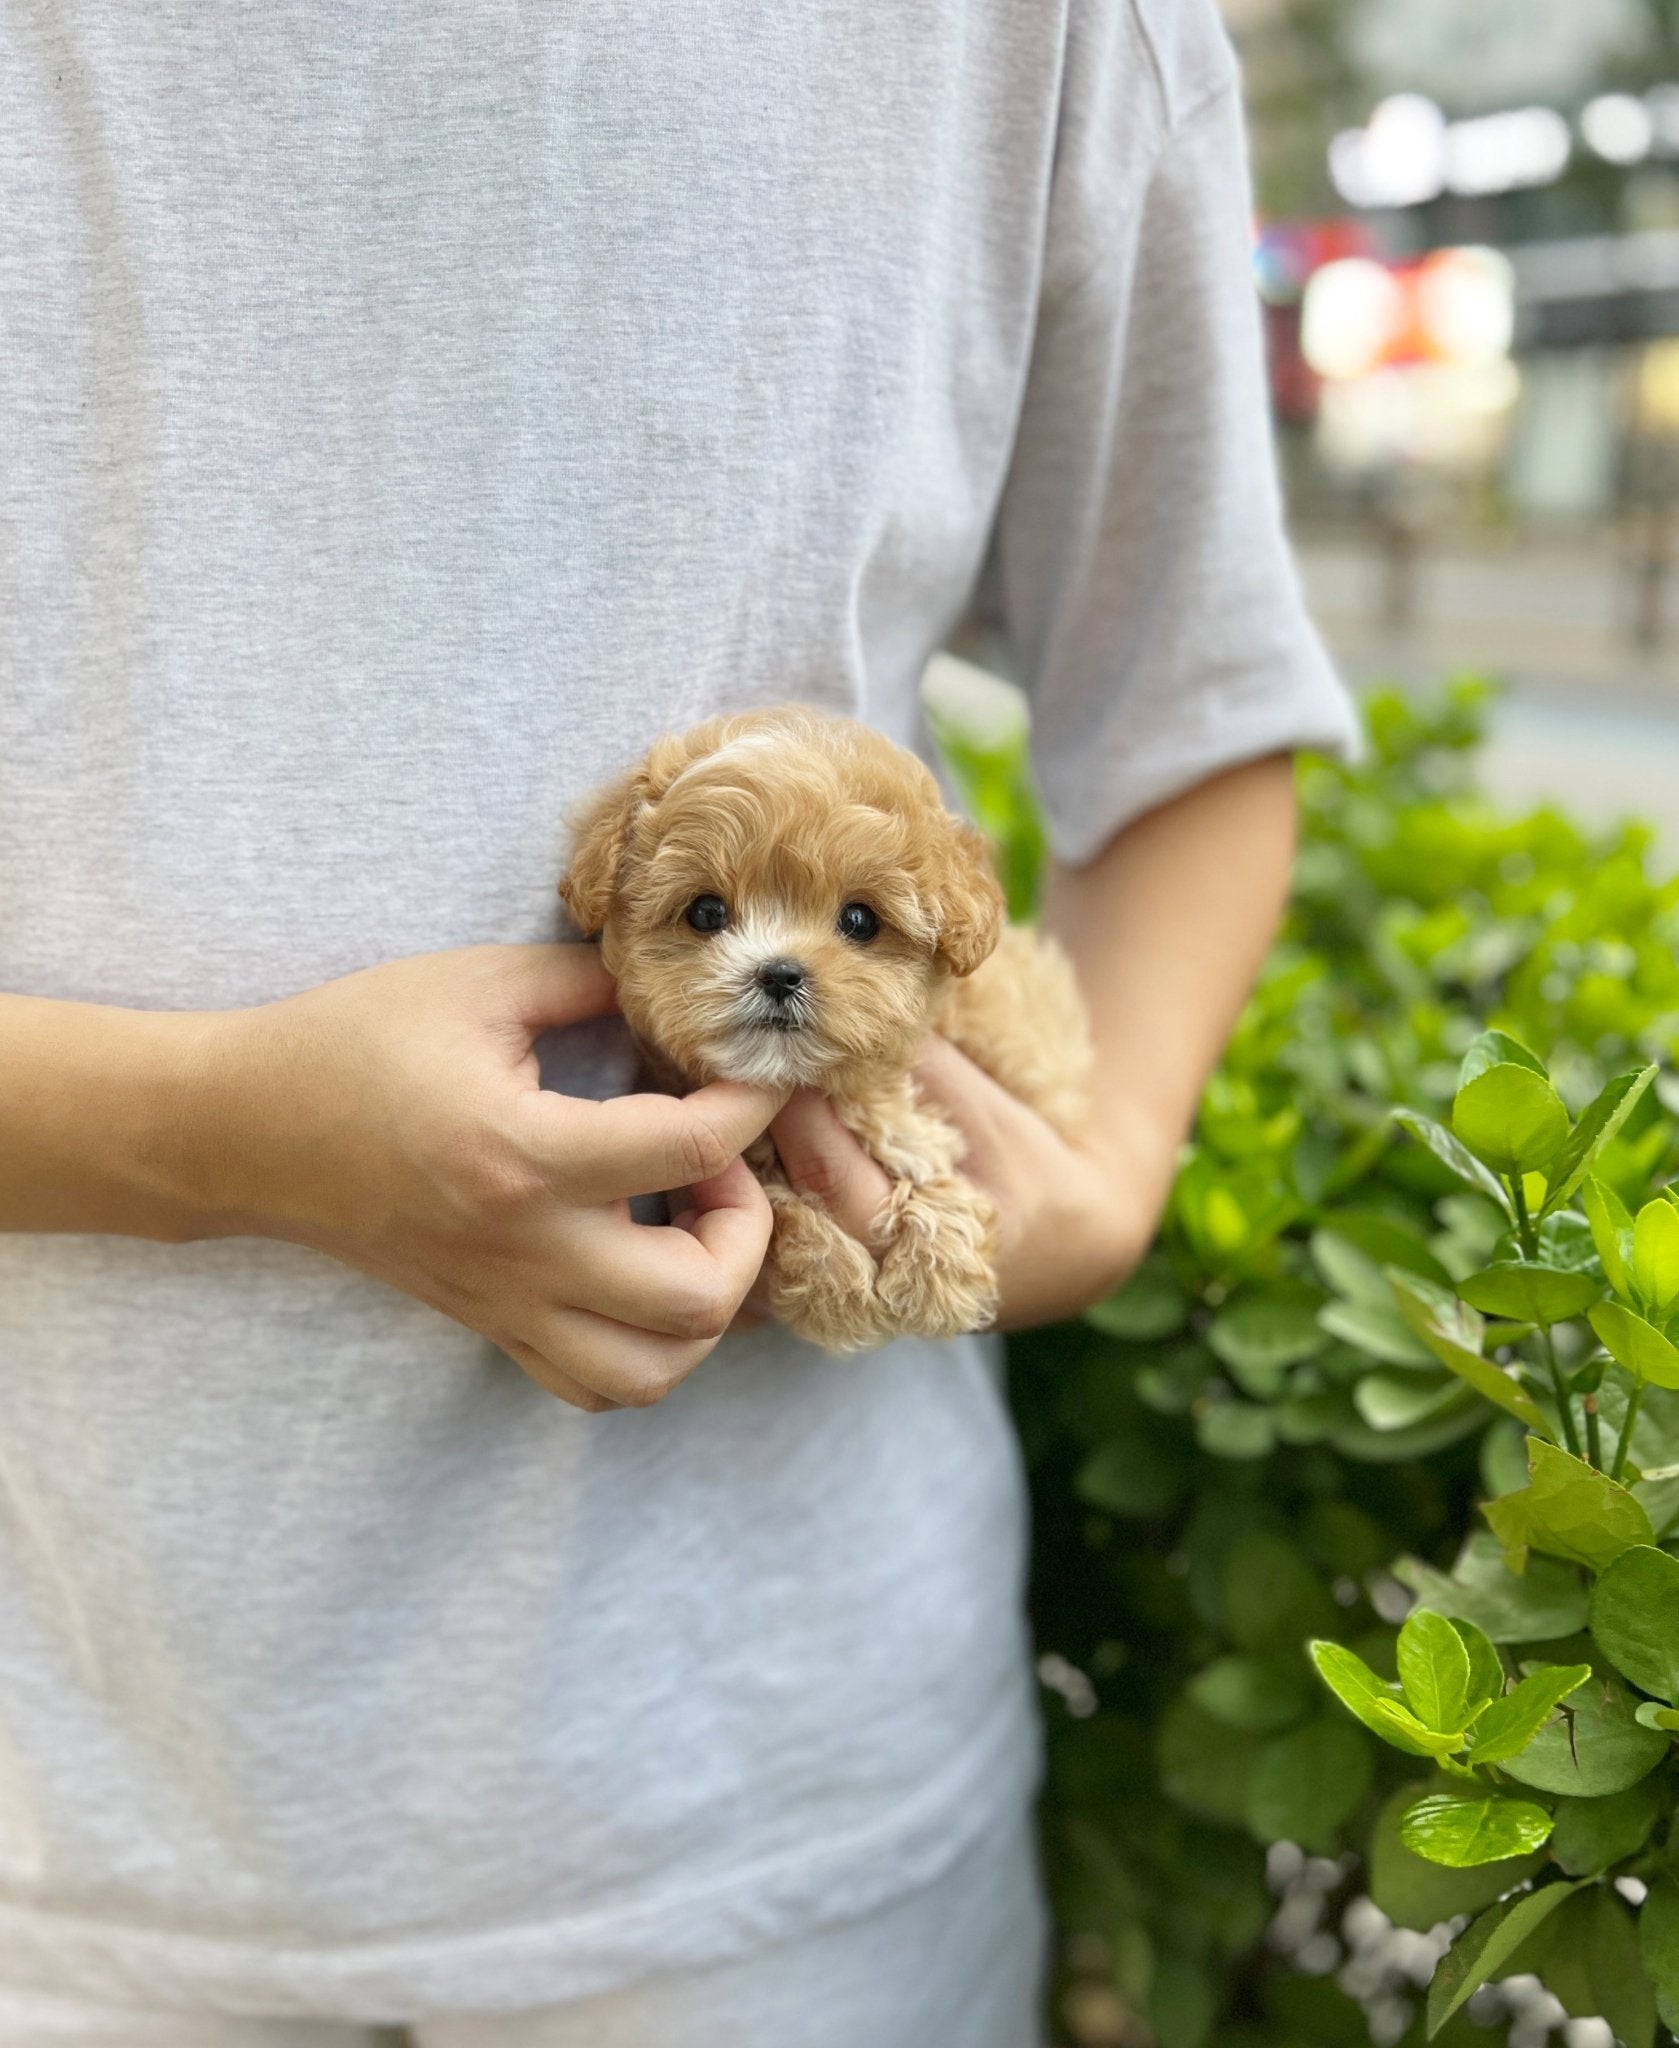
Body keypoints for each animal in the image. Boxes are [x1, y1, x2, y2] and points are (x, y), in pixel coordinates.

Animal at [556, 712, 1097, 1351]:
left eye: (859, 920)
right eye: (707, 912)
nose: (780, 973)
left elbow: (921, 1149)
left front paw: (937, 1275)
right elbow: (779, 1212)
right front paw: (836, 1291)